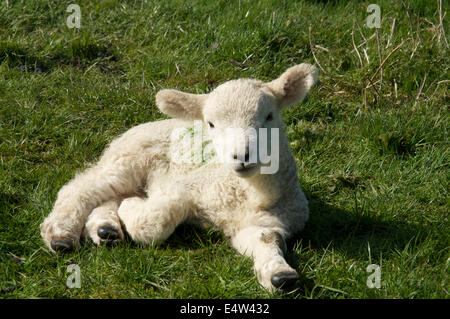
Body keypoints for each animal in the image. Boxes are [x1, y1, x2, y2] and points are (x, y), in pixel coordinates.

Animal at [39, 63, 320, 292]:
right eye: (211, 124)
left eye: (269, 116)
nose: (242, 155)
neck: (251, 194)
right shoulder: (187, 186)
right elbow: (154, 223)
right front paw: (132, 209)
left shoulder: (265, 220)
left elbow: (265, 240)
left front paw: (279, 275)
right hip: (129, 159)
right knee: (82, 188)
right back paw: (62, 234)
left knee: (108, 194)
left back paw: (105, 229)